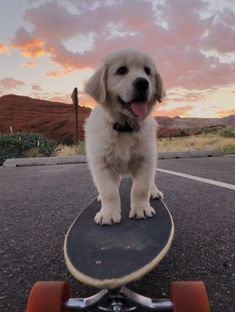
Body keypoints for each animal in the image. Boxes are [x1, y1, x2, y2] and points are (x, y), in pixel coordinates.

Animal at [84, 48, 163, 224]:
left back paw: (154, 191)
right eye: (121, 70)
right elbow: (109, 191)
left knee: (151, 180)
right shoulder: (101, 163)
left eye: (147, 71)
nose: (143, 83)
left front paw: (141, 209)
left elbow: (141, 188)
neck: (125, 127)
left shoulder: (146, 160)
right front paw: (108, 213)